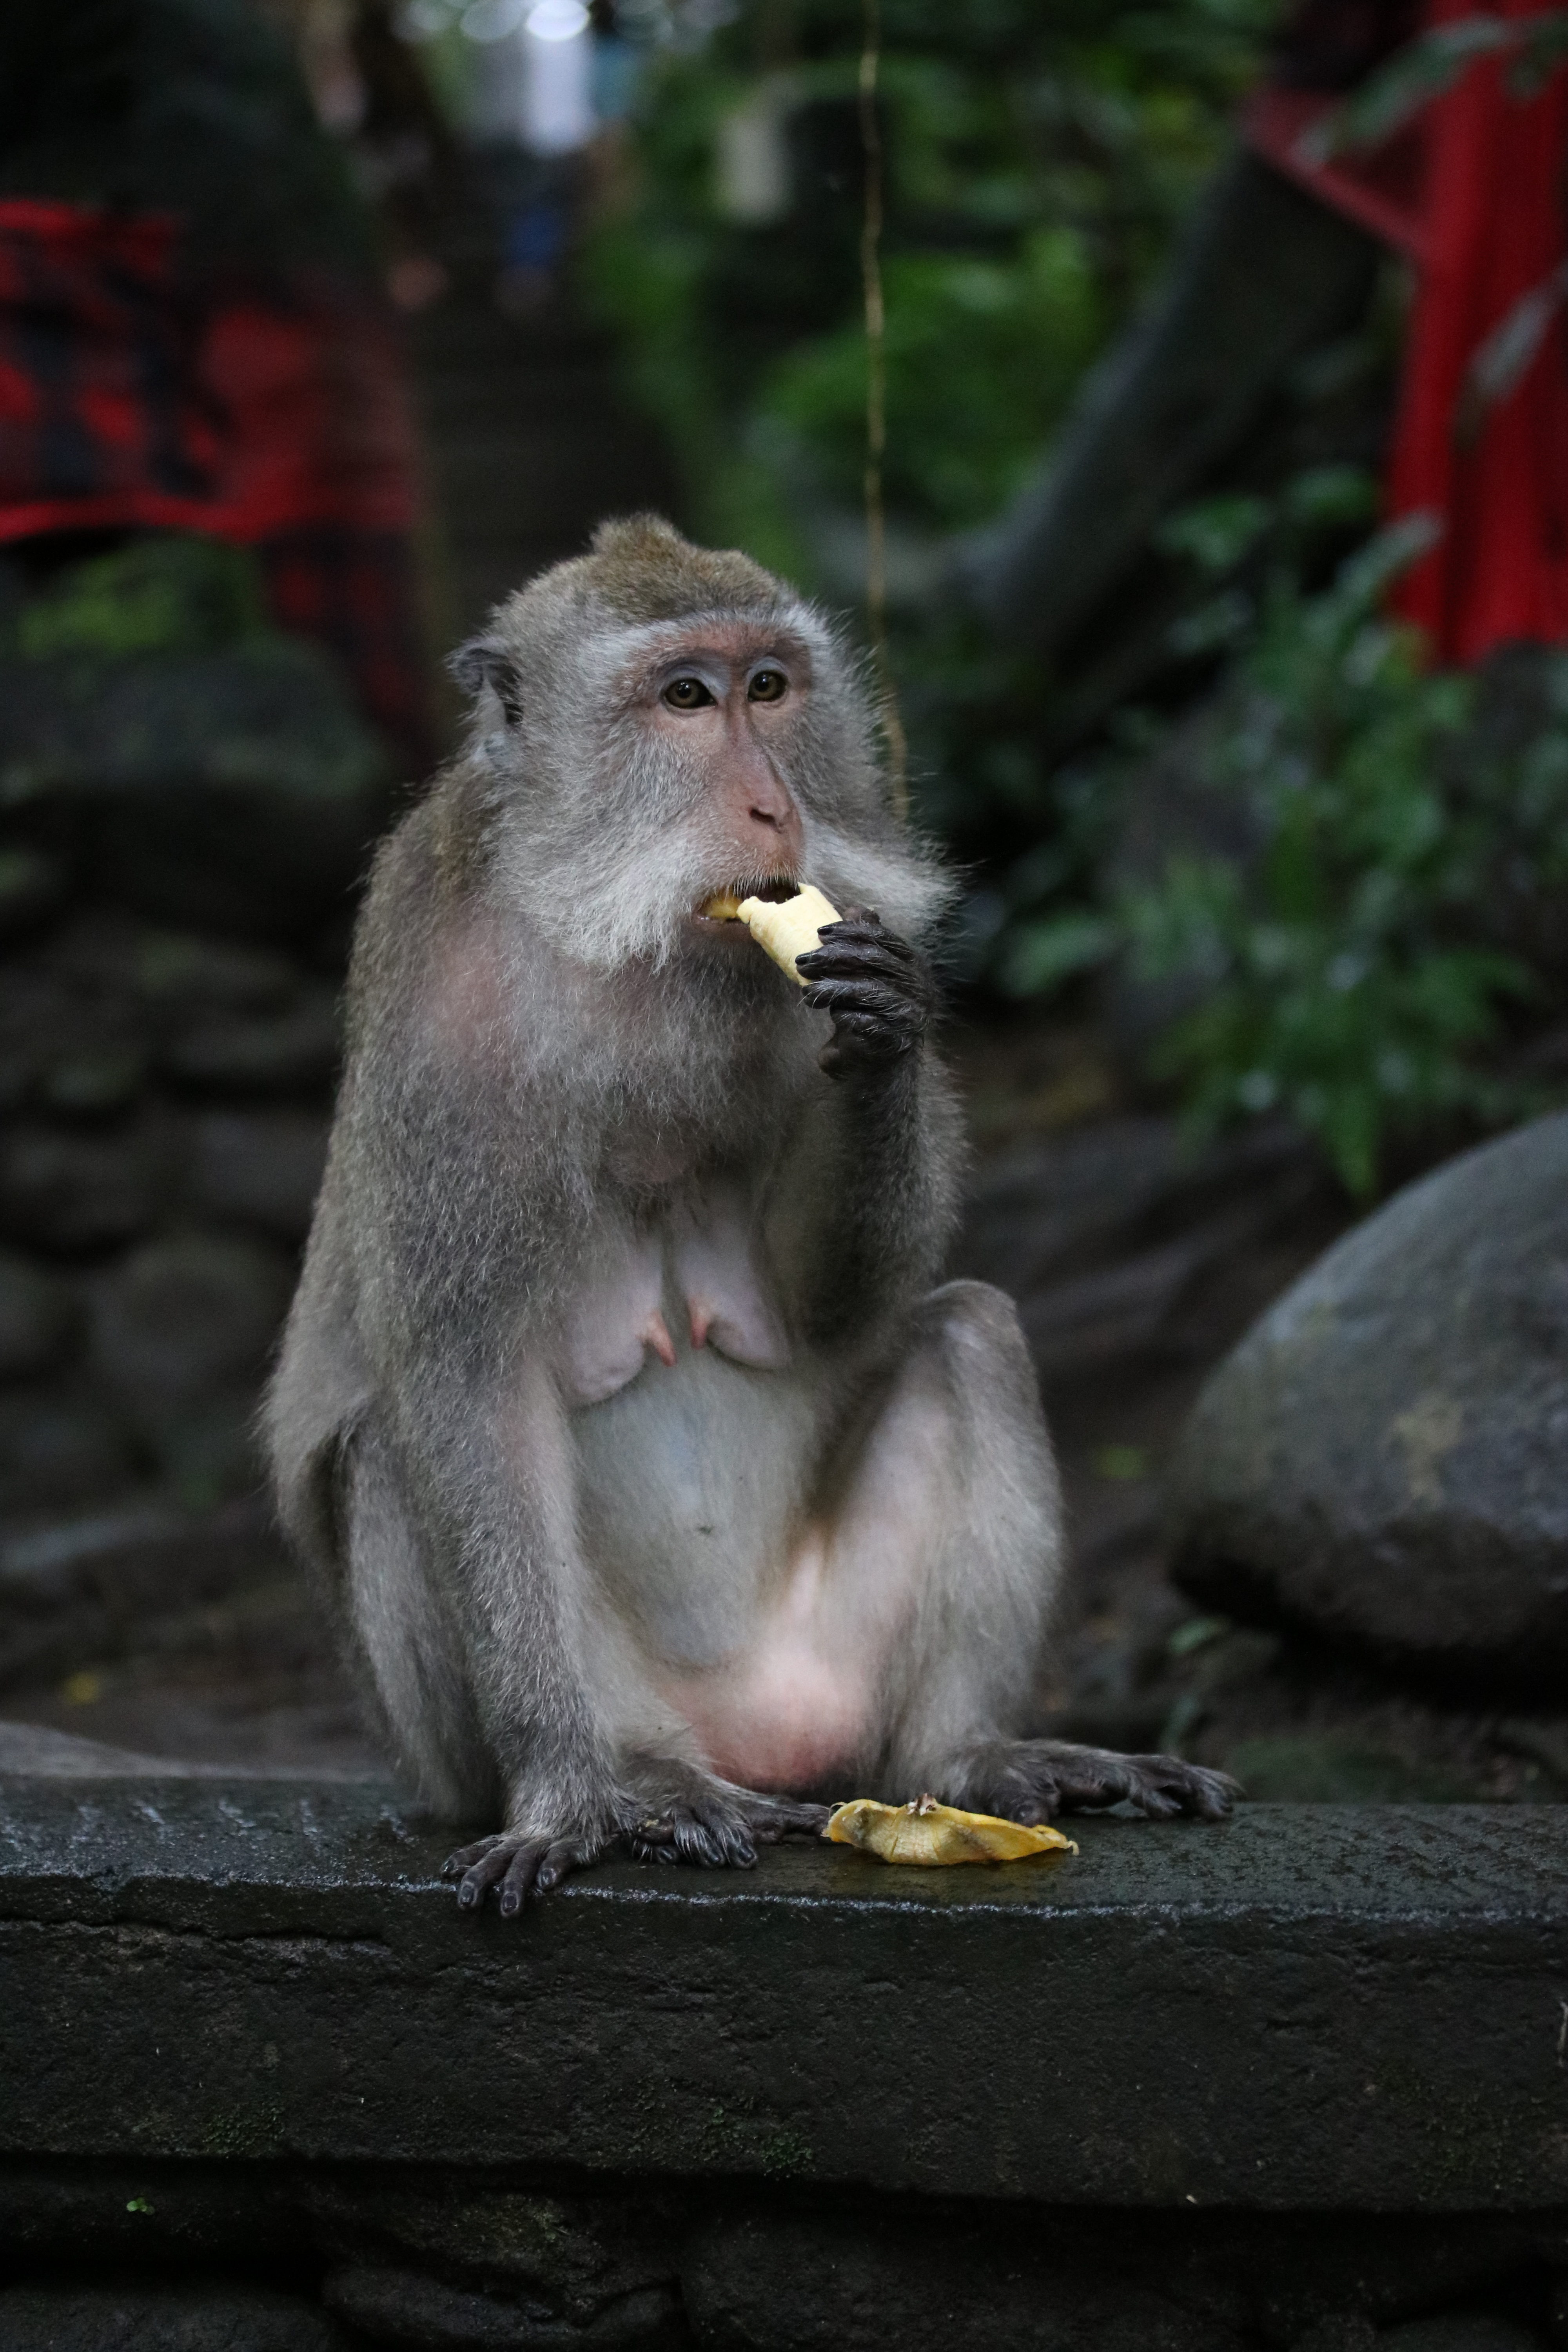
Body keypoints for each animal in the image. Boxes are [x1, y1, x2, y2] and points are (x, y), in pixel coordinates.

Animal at [265, 515, 1234, 1917]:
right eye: (686, 698)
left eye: (768, 688)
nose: (775, 802)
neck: (625, 949)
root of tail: (756, 1740)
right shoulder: (437, 993)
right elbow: (460, 1380)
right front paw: (567, 1795)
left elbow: (824, 1304)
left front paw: (883, 1035)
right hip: (488, 1735)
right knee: (396, 1450)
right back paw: (649, 1787)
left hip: (832, 1677)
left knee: (971, 1332)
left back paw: (972, 1757)